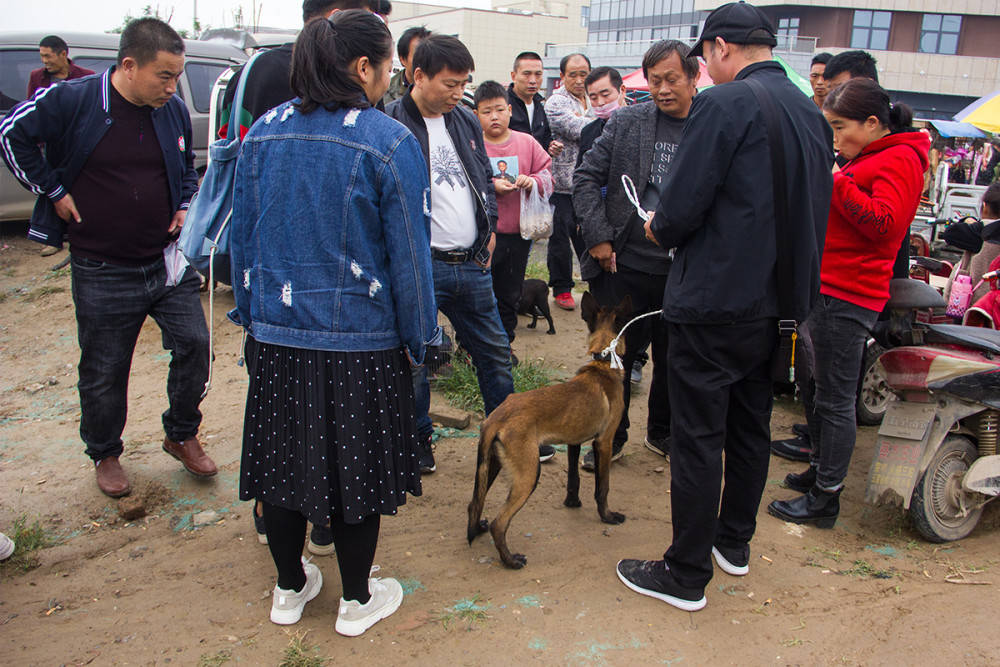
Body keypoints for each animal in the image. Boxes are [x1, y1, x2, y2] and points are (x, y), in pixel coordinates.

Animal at [464, 292, 628, 568]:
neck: (603, 363)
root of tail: (497, 416)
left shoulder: (574, 441)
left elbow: (573, 479)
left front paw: (573, 503)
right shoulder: (604, 442)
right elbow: (603, 487)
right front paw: (607, 516)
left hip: (490, 465)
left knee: (475, 503)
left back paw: (478, 530)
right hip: (529, 473)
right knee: (500, 522)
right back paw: (510, 560)